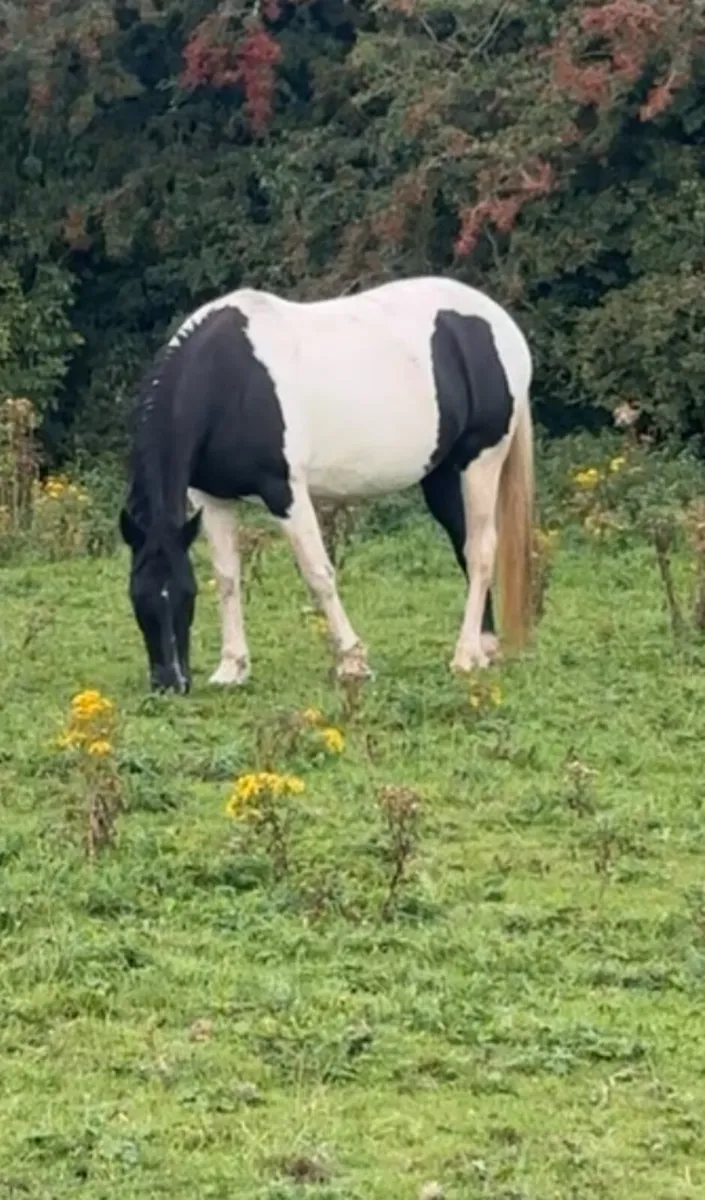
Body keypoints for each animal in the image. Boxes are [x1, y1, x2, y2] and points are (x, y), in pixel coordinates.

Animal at [119, 275, 534, 693]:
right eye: (138, 598)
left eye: (185, 596)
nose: (170, 682)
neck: (229, 380)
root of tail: (500, 324)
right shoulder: (212, 499)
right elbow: (227, 578)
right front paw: (232, 668)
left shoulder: (285, 491)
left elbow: (318, 573)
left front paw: (353, 662)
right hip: (442, 474)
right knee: (463, 544)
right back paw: (483, 649)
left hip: (481, 460)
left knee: (481, 550)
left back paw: (464, 657)